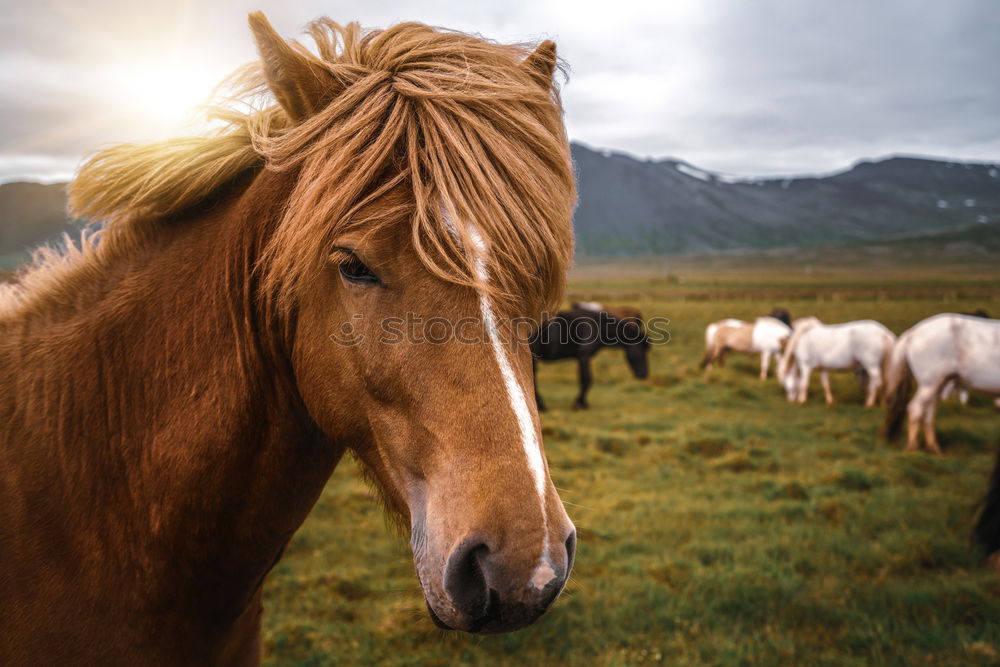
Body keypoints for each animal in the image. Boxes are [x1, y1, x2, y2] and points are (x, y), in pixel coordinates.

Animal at [772, 318, 900, 408]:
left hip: (871, 365)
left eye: (785, 383)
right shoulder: (823, 368)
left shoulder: (805, 366)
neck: (801, 338)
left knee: (876, 381)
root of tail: (884, 332)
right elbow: (825, 384)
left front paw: (801, 400)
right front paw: (829, 401)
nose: (790, 400)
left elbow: (804, 384)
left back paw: (870, 402)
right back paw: (882, 402)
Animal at [884, 314, 1000, 454]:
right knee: (915, 408)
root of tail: (912, 333)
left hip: (937, 385)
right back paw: (912, 447)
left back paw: (934, 448)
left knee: (928, 413)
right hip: (928, 384)